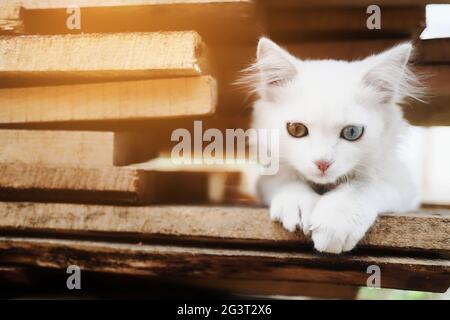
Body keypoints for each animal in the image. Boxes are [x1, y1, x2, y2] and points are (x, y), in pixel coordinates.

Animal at [243, 38, 422, 252]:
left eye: (352, 132)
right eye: (296, 129)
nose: (322, 163)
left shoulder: (401, 182)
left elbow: (360, 187)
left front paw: (336, 222)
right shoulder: (268, 176)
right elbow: (287, 179)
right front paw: (296, 204)